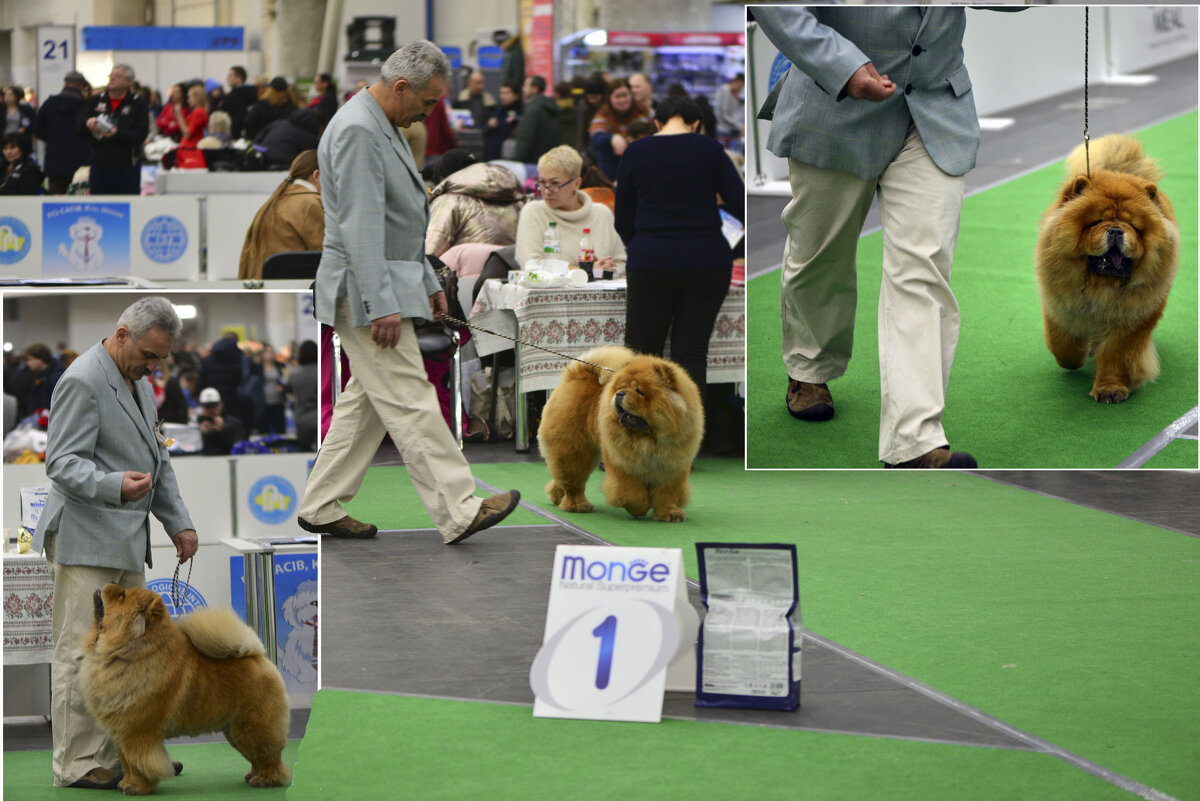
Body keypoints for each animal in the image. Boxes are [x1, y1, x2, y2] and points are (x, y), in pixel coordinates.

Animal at [537, 345, 700, 522]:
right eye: (621, 387)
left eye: (639, 391)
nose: (619, 393)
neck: (649, 438)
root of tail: (578, 374)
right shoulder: (623, 465)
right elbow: (632, 493)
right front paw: (640, 508)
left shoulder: (672, 467)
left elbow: (668, 494)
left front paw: (670, 514)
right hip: (576, 451)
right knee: (574, 482)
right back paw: (578, 505)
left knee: (562, 478)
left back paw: (557, 497)